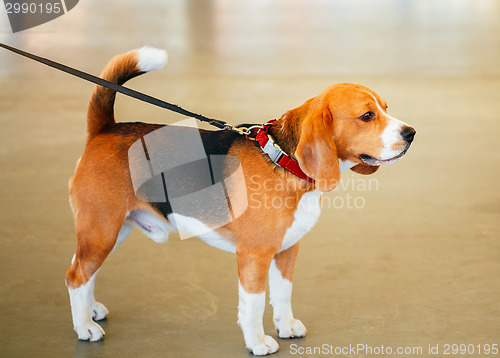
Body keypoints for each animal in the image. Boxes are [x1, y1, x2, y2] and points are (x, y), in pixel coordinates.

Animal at [64, 47, 416, 356]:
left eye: (386, 108)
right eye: (367, 116)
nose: (411, 133)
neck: (283, 159)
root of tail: (105, 129)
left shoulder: (287, 249)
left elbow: (283, 293)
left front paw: (286, 326)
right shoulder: (254, 256)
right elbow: (254, 303)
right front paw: (257, 342)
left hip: (111, 231)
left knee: (83, 270)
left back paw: (91, 311)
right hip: (102, 230)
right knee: (75, 276)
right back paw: (85, 328)